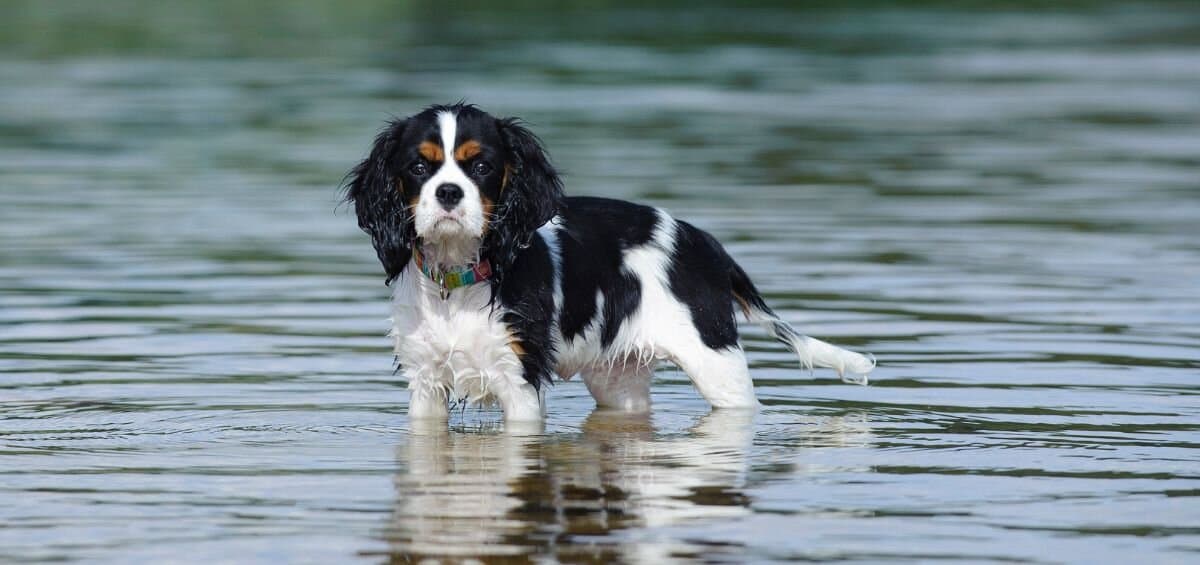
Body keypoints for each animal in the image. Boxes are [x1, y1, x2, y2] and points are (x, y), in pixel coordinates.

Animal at [343, 103, 878, 422]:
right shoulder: (425, 384)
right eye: (418, 167)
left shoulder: (519, 381)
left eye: (481, 167)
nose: (449, 193)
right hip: (618, 383)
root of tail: (703, 241)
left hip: (719, 367)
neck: (460, 277)